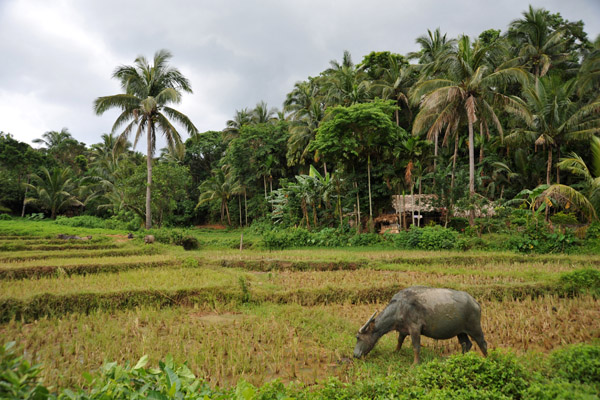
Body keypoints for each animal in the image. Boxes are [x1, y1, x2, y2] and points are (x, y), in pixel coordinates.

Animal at [352, 286, 488, 364]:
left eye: (358, 338)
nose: (355, 355)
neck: (399, 307)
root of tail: (475, 302)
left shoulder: (415, 329)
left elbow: (416, 347)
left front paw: (415, 364)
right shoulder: (403, 329)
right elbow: (399, 341)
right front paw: (395, 352)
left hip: (475, 328)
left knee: (482, 343)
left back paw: (487, 359)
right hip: (460, 331)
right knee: (466, 344)